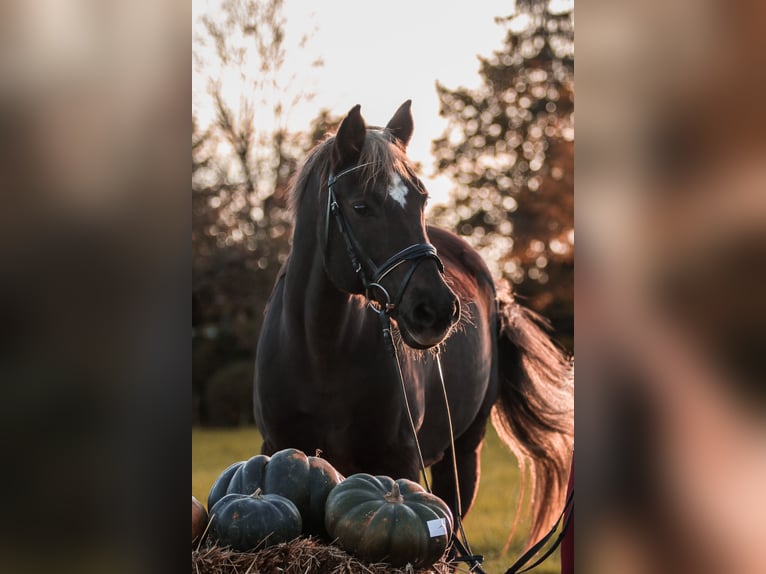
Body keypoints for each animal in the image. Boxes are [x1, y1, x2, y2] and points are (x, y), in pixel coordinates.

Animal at [255, 101, 572, 548]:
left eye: (421, 200)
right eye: (361, 207)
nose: (436, 309)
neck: (321, 352)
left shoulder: (401, 461)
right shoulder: (280, 448)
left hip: (463, 453)